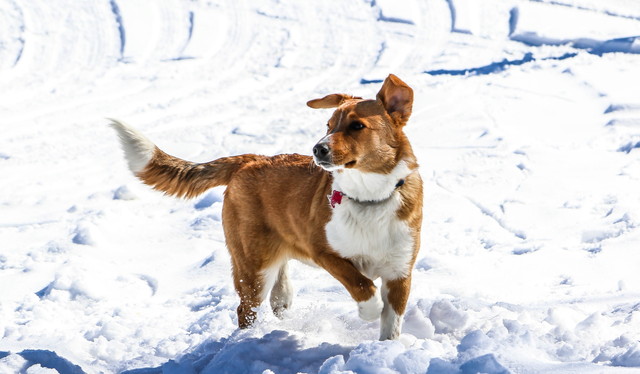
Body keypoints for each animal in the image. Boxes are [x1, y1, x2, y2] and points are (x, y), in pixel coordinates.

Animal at [110, 74, 422, 340]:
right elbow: (362, 285)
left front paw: (385, 349)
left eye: (357, 126)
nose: (317, 149)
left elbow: (392, 322)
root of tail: (250, 159)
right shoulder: (325, 252)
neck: (369, 197)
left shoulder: (400, 272)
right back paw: (246, 339)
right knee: (246, 308)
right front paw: (369, 311)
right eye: (328, 125)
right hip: (253, 265)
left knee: (278, 289)